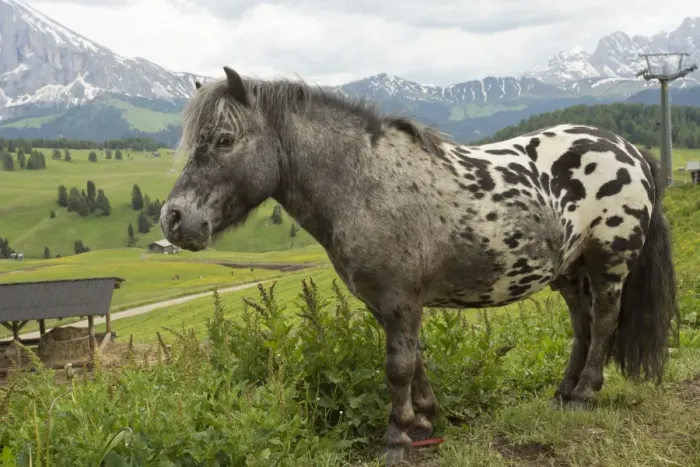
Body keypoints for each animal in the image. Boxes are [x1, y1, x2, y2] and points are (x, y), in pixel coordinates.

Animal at [161, 66, 679, 465]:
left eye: (224, 139)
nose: (174, 219)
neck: (365, 183)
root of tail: (629, 149)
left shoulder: (399, 300)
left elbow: (398, 367)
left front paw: (397, 437)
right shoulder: (389, 304)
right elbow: (415, 362)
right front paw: (425, 419)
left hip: (609, 263)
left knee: (605, 322)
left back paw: (585, 394)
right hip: (571, 273)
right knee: (583, 326)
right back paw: (563, 393)